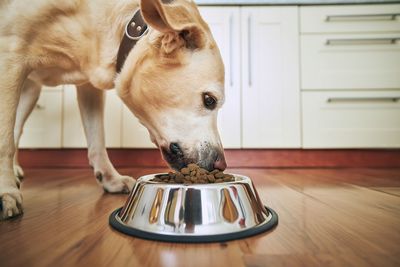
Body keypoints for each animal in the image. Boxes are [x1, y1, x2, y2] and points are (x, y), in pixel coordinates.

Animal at [0, 0, 225, 221]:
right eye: (209, 100)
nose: (222, 164)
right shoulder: (10, 57)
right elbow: (4, 141)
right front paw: (6, 192)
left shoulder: (89, 87)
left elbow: (97, 141)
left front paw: (110, 178)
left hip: (30, 91)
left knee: (17, 128)